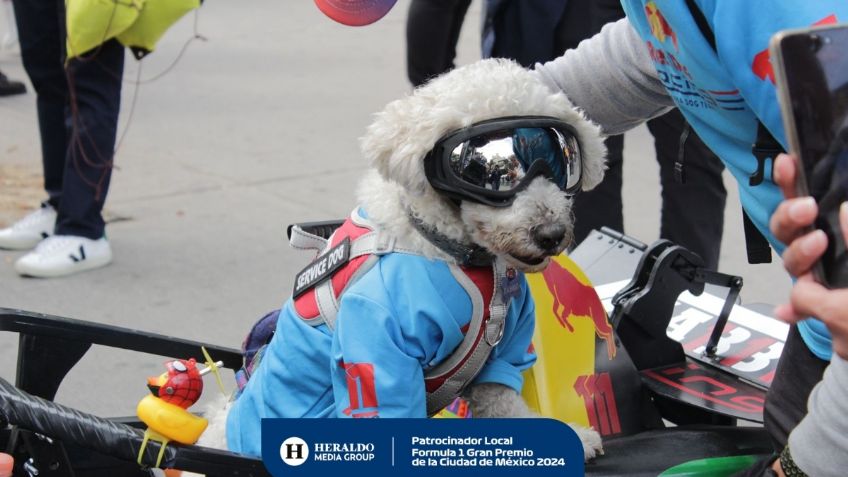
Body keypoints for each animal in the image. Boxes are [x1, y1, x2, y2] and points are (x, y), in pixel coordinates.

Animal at [200, 58, 608, 462]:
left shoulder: (504, 354)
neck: (453, 252)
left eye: (557, 161)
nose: (552, 234)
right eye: (486, 169)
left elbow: (506, 404)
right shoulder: (378, 349)